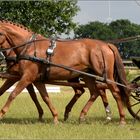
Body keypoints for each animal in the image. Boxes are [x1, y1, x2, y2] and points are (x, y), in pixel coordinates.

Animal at [0, 20, 130, 124]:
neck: (29, 47)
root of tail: (106, 45)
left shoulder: (27, 77)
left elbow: (13, 94)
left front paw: (1, 114)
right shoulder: (33, 79)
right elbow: (44, 97)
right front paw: (54, 117)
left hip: (106, 76)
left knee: (115, 92)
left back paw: (121, 119)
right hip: (88, 76)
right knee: (94, 92)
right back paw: (82, 115)